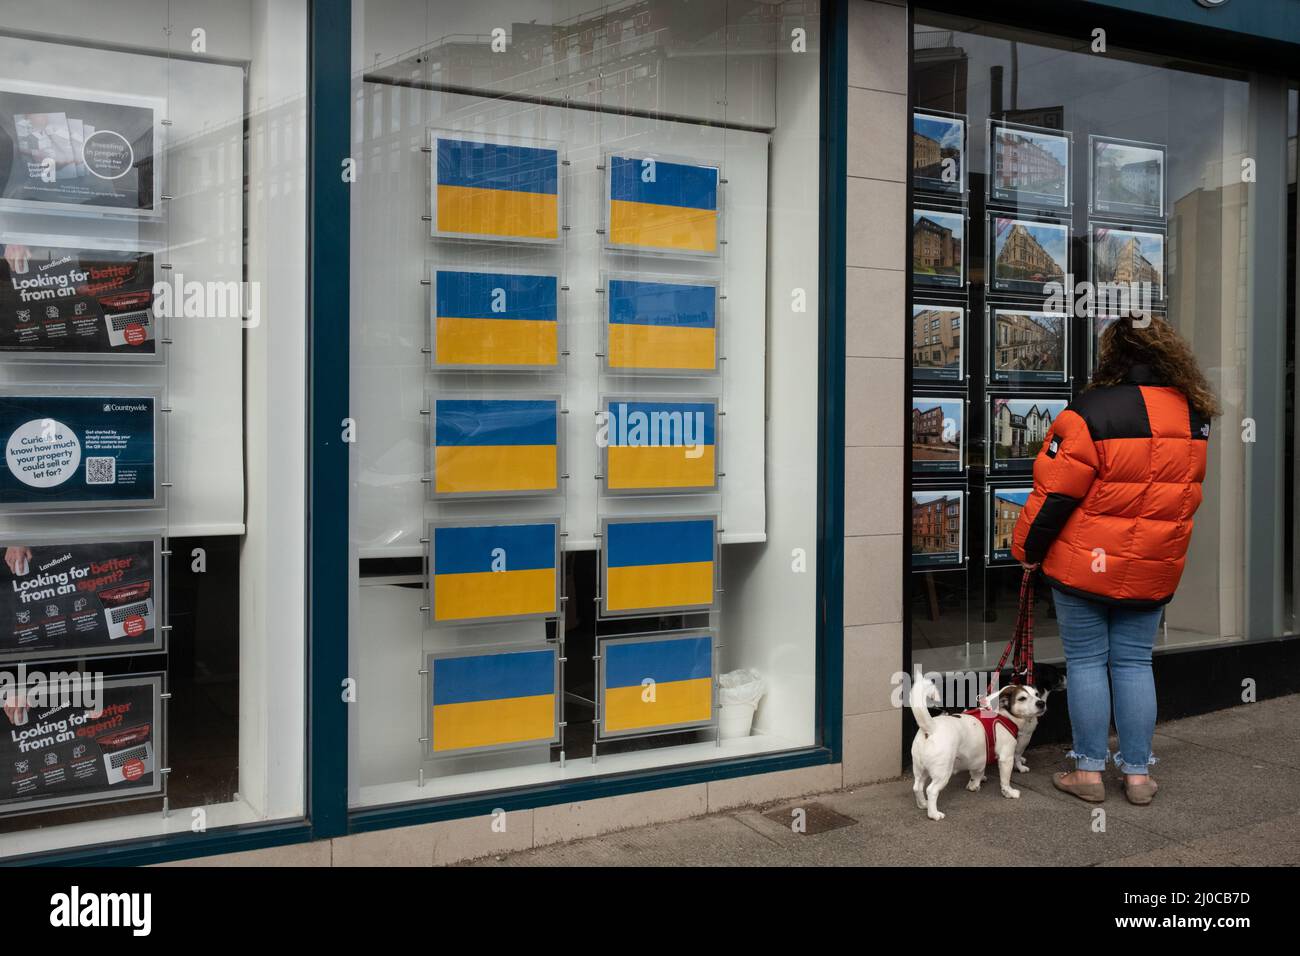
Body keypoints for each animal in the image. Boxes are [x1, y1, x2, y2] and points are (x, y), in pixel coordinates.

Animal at [909, 681, 1050, 822]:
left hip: (920, 770)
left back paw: (923, 804)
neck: (1003, 714)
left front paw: (976, 782)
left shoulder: (979, 756)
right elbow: (1005, 779)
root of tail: (931, 727)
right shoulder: (1007, 758)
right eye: (1022, 698)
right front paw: (1009, 792)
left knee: (917, 787)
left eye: (1036, 694)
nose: (1041, 703)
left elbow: (977, 772)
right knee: (931, 790)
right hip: (942, 773)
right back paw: (933, 814)